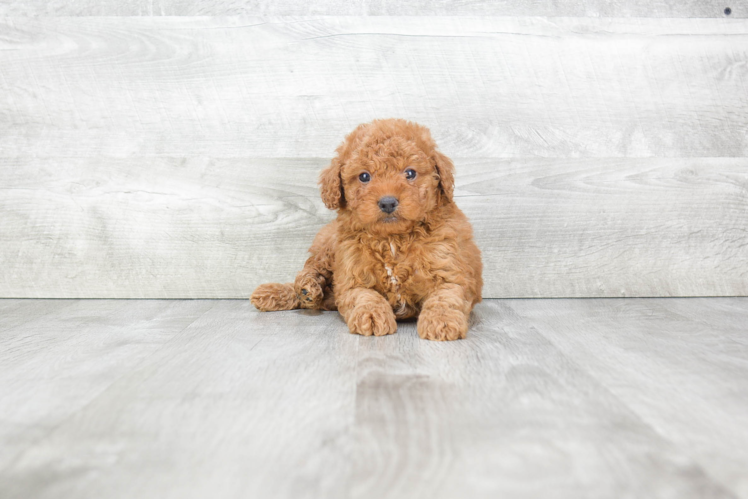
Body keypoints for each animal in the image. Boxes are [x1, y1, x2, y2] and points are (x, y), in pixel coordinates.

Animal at [251, 117, 486, 340]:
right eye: (364, 176)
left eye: (410, 173)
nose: (388, 202)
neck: (393, 239)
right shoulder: (351, 278)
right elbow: (365, 297)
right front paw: (371, 316)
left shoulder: (449, 270)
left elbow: (445, 298)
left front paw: (442, 322)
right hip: (328, 245)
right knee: (311, 269)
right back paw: (300, 288)